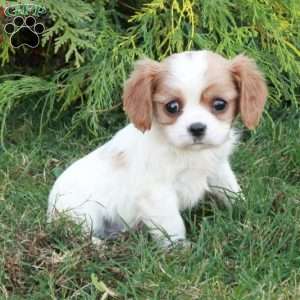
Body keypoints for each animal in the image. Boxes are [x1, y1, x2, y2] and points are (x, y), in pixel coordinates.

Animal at [48, 49, 268, 246]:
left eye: (220, 104)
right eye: (172, 107)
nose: (197, 128)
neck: (190, 154)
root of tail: (50, 211)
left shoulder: (218, 169)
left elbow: (231, 189)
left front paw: (245, 209)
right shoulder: (157, 193)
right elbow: (172, 224)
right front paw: (179, 248)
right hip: (83, 214)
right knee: (76, 233)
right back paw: (97, 244)